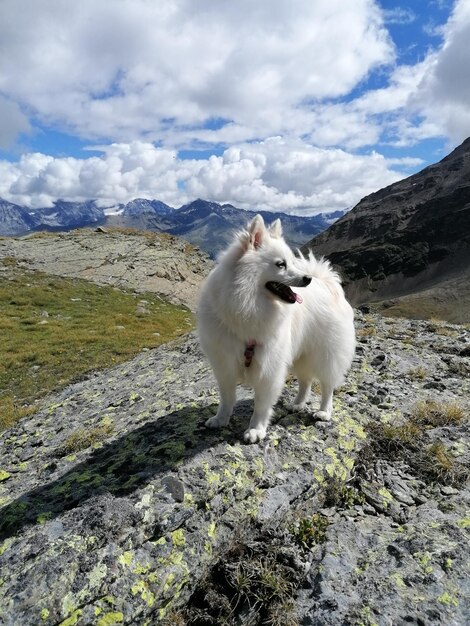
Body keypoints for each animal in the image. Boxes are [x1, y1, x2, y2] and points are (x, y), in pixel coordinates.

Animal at [196, 214, 354, 444]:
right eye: (281, 264)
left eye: (291, 262)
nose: (307, 279)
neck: (247, 305)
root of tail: (327, 284)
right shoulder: (224, 364)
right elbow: (227, 397)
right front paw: (220, 419)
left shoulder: (268, 367)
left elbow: (261, 404)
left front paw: (256, 429)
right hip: (301, 356)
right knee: (306, 381)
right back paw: (297, 404)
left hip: (325, 354)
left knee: (327, 385)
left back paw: (324, 412)